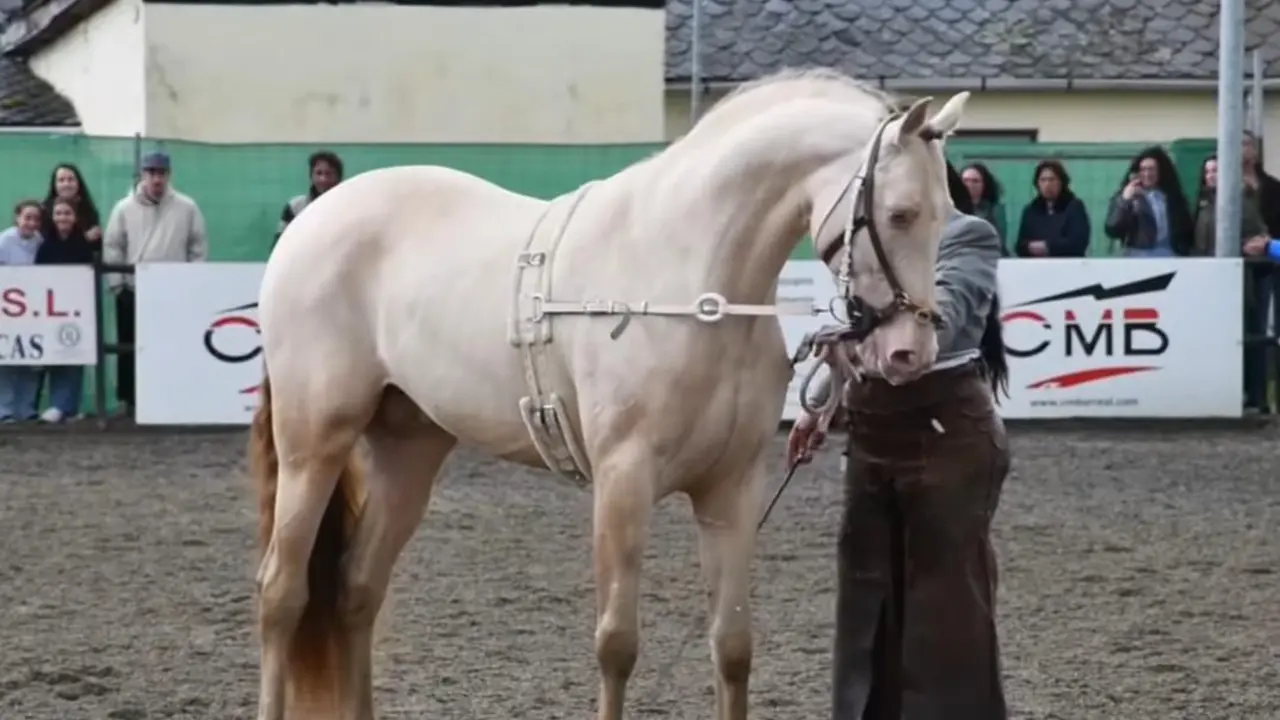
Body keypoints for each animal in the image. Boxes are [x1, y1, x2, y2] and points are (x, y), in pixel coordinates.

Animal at [249, 66, 971, 720]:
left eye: (947, 215)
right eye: (899, 214)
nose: (909, 351)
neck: (691, 284)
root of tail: (314, 221)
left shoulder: (732, 489)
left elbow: (733, 647)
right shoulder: (624, 480)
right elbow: (617, 645)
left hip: (410, 451)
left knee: (356, 591)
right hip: (315, 443)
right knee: (282, 593)